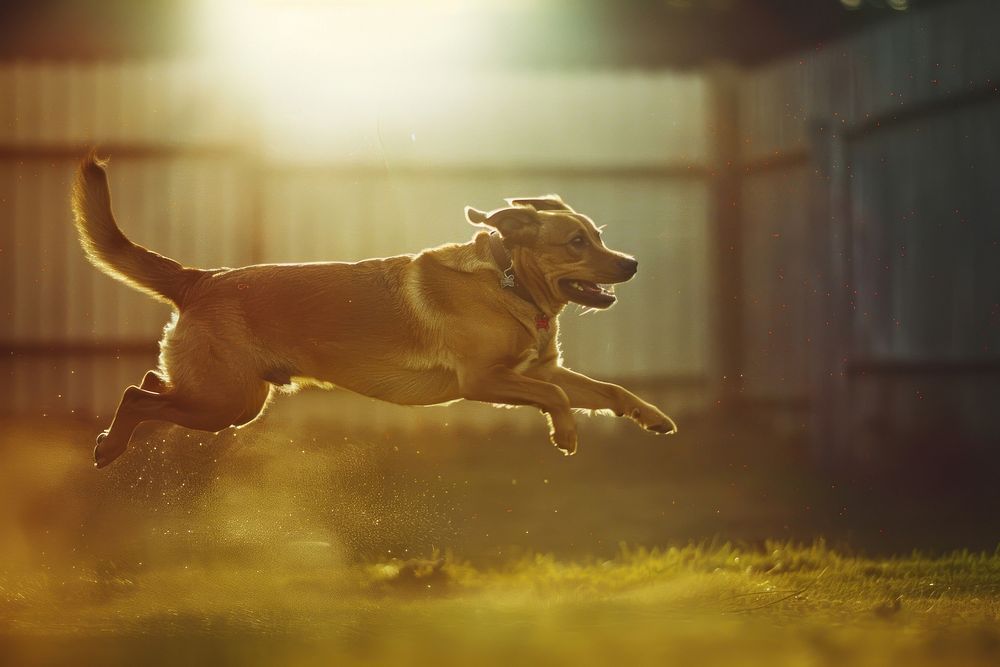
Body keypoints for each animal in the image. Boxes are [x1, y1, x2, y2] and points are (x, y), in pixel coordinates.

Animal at [72, 155, 680, 470]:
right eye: (576, 242)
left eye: (598, 236)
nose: (631, 264)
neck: (510, 283)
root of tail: (201, 278)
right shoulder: (484, 379)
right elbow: (557, 397)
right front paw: (566, 433)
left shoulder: (537, 369)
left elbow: (607, 391)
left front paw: (651, 416)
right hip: (225, 401)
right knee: (136, 395)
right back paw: (109, 445)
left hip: (227, 400)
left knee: (152, 385)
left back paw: (118, 440)